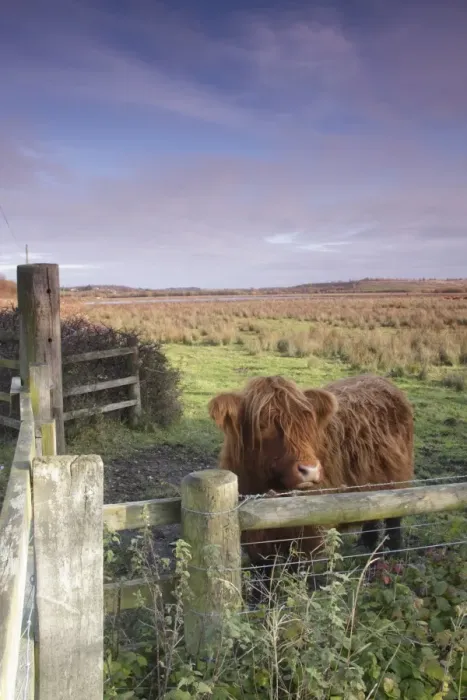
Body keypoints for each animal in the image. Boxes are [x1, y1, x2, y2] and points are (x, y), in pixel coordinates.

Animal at [208, 374, 414, 579]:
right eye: (262, 424)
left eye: (308, 423)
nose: (310, 469)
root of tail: (380, 379)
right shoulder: (256, 542)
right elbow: (264, 576)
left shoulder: (311, 535)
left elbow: (303, 576)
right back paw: (366, 546)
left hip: (398, 482)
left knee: (394, 521)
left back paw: (392, 554)